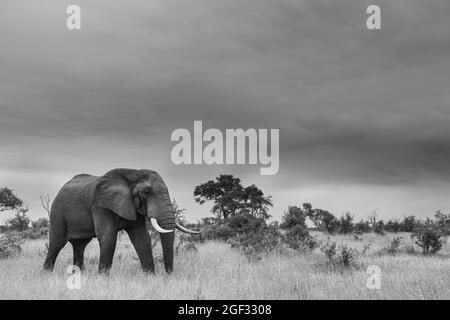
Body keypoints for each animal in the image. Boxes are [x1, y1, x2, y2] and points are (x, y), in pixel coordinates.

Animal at [43, 169, 199, 274]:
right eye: (147, 192)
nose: (168, 275)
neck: (133, 175)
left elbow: (142, 239)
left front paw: (150, 276)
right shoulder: (100, 205)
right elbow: (108, 237)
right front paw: (103, 278)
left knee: (79, 245)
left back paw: (79, 274)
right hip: (58, 212)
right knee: (56, 243)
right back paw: (47, 273)